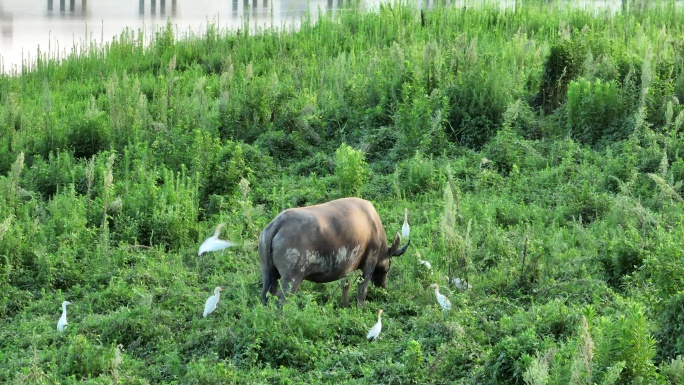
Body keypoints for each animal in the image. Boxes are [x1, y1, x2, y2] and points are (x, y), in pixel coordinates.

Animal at [260, 196, 412, 304]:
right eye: (387, 268)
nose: (383, 287)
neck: (373, 226)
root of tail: (277, 223)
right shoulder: (369, 264)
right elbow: (362, 290)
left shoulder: (346, 269)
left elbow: (346, 286)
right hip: (292, 278)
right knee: (281, 301)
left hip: (268, 274)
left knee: (266, 296)